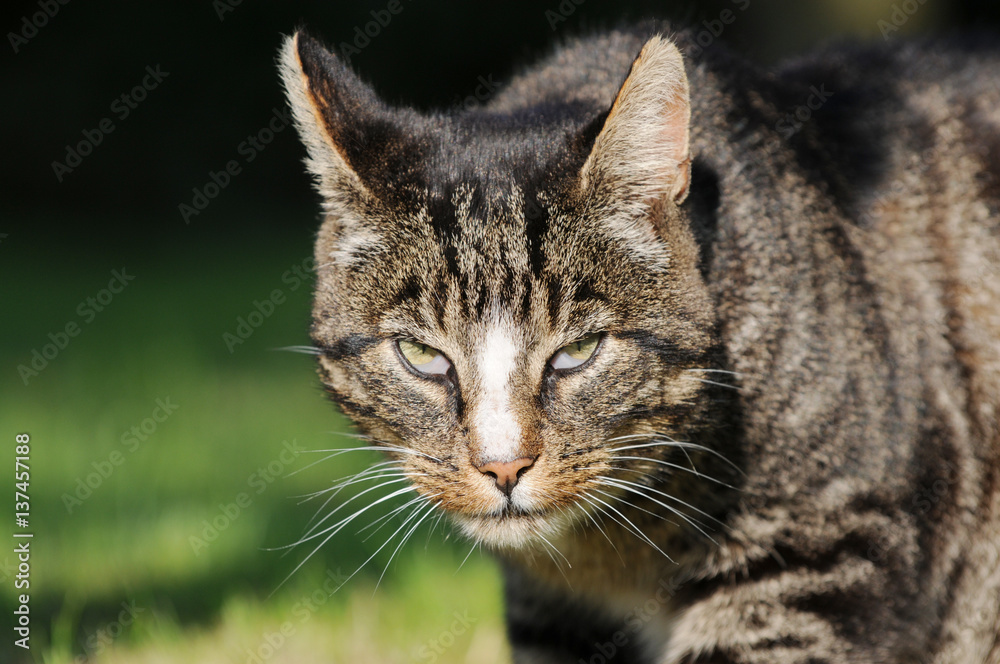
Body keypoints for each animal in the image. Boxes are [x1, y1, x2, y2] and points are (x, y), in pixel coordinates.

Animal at [278, 22, 1000, 664]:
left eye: (580, 351)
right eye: (424, 357)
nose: (503, 468)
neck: (604, 557)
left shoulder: (822, 553)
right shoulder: (554, 616)